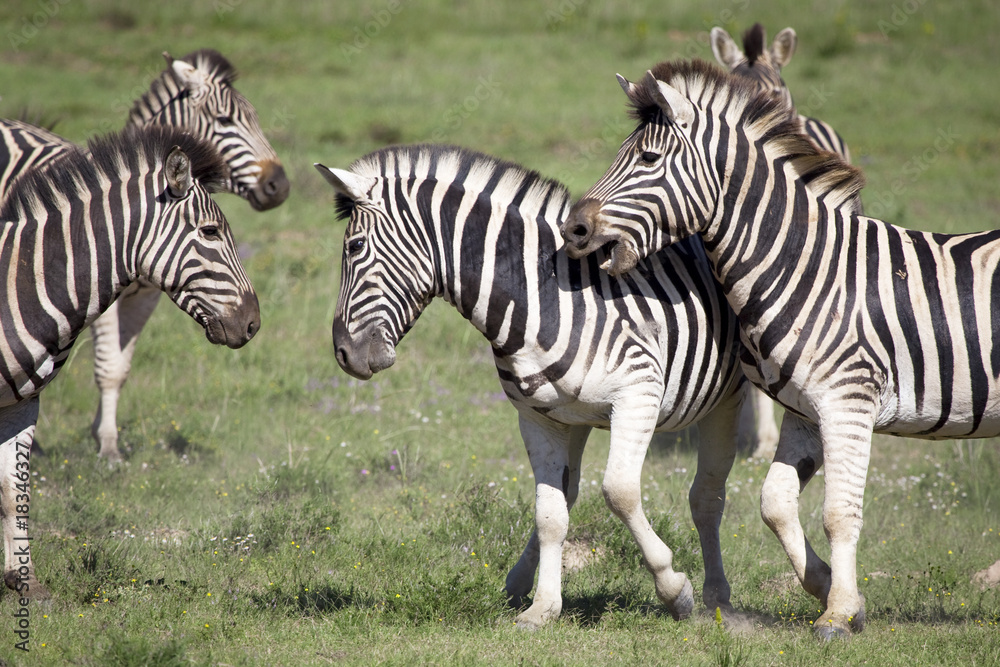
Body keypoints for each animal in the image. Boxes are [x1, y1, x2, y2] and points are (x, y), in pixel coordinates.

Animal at [0, 124, 260, 598]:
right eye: (211, 232)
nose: (253, 323)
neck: (23, 280)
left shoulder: (20, 401)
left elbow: (15, 488)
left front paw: (23, 581)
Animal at [1, 48, 288, 462]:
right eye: (225, 120)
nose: (280, 185)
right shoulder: (100, 299)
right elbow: (106, 367)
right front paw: (107, 447)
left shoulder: (147, 298)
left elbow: (120, 368)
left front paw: (103, 435)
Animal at [314, 145, 749, 628]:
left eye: (354, 247)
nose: (344, 354)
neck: (546, 298)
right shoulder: (539, 417)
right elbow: (550, 514)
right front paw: (542, 606)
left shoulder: (638, 394)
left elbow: (619, 492)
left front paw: (674, 590)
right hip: (577, 416)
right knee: (575, 493)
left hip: (726, 397)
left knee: (708, 495)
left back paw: (718, 596)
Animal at [558, 58, 1000, 639]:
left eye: (649, 159)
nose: (573, 229)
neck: (807, 266)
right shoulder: (805, 408)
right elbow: (775, 504)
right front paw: (834, 591)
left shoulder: (849, 402)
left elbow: (839, 512)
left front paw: (836, 614)